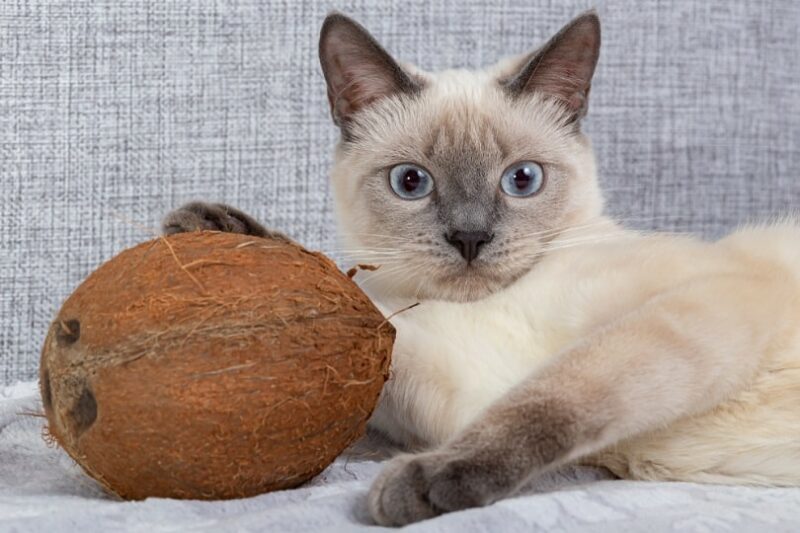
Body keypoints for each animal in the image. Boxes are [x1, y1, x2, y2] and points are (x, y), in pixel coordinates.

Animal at [162, 10, 800, 524]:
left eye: (522, 180)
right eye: (411, 182)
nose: (470, 238)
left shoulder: (705, 308)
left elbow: (549, 400)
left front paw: (424, 484)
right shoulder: (464, 377)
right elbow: (362, 317)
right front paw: (220, 238)